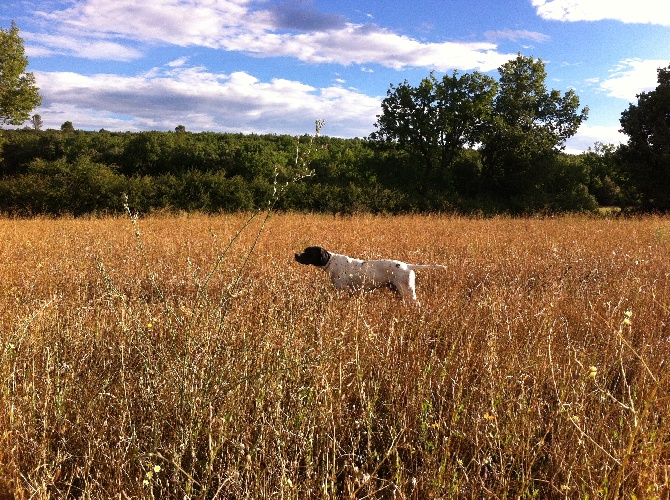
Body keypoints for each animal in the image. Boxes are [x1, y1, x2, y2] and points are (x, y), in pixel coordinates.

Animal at [296, 246, 446, 304]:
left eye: (308, 252)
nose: (296, 255)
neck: (331, 262)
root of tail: (408, 265)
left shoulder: (341, 290)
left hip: (408, 292)